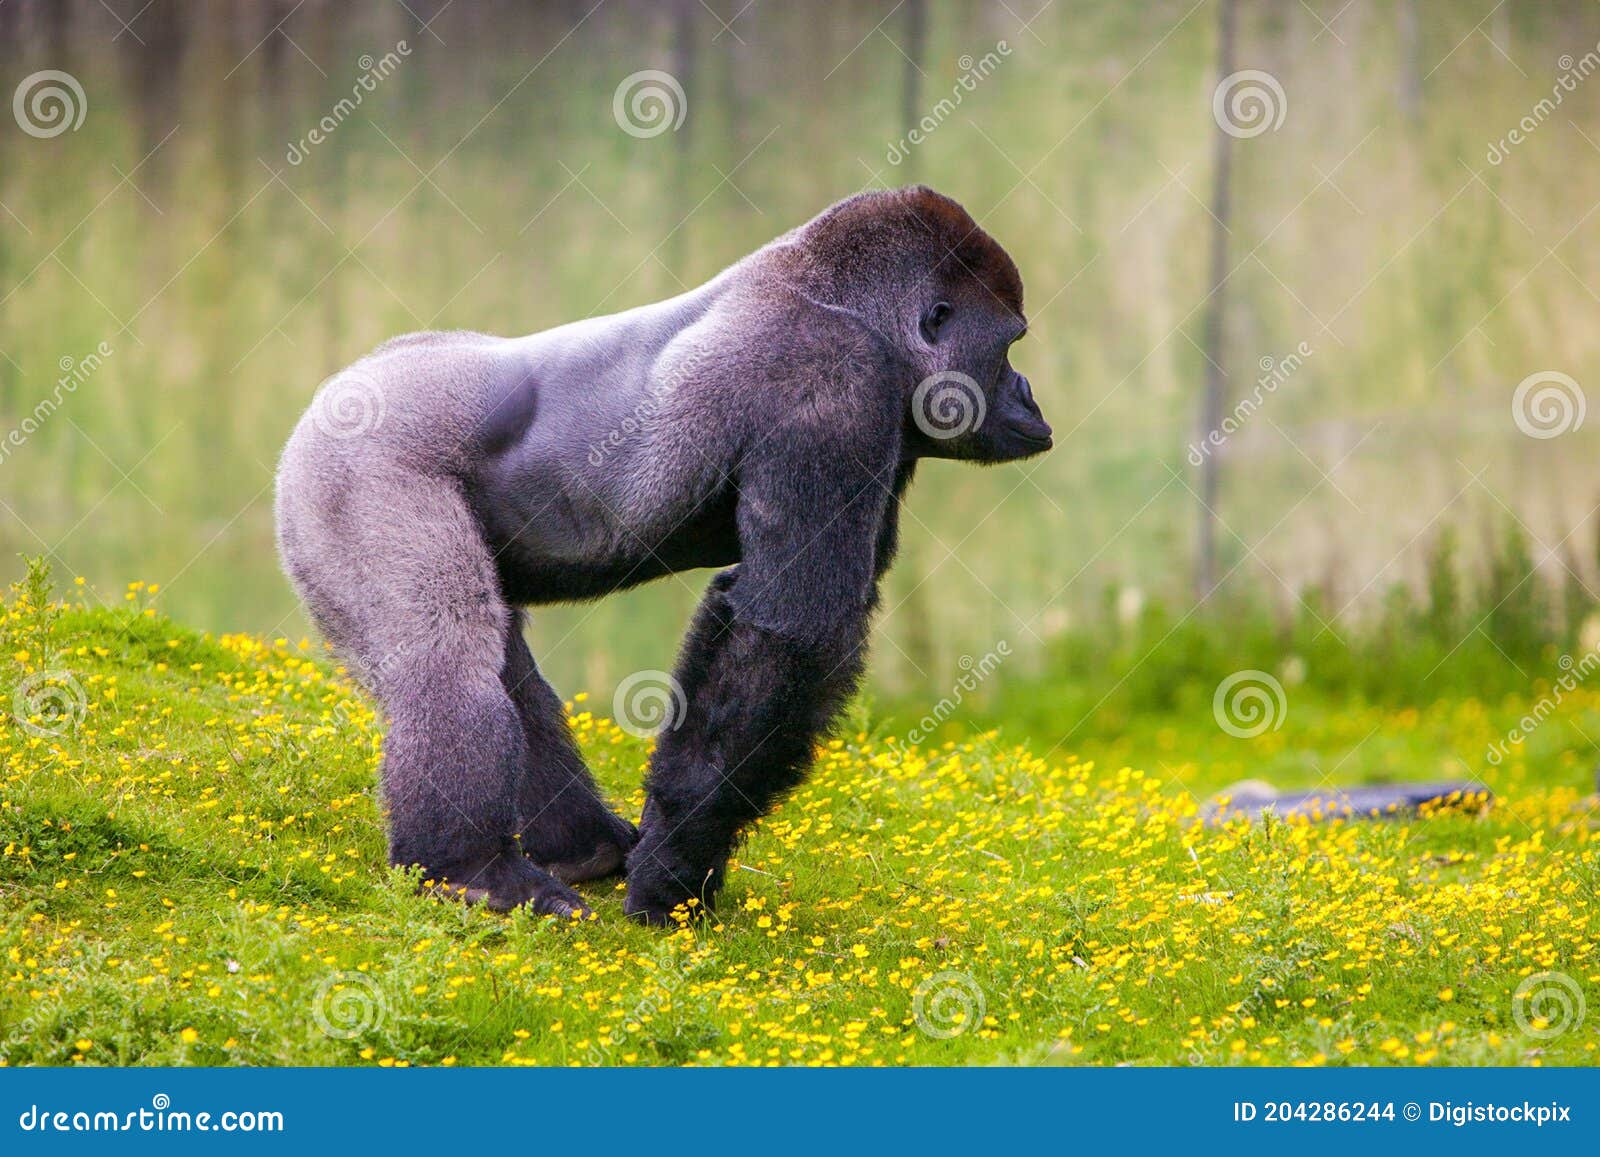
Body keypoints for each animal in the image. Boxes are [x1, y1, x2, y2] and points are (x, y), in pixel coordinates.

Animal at [274, 186, 1050, 925]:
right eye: (1010, 347)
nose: (1030, 396)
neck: (842, 303)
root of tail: (342, 385)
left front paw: (667, 847)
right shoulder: (835, 380)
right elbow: (790, 632)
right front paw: (675, 869)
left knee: (501, 661)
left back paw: (577, 846)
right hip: (354, 466)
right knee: (446, 652)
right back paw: (471, 869)